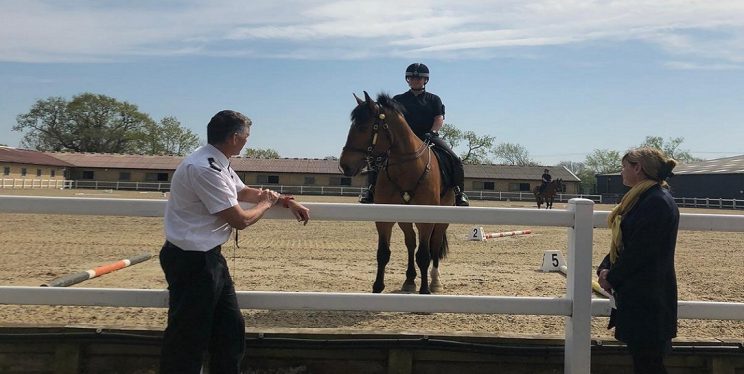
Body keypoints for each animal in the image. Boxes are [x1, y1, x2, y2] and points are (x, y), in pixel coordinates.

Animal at [338, 91, 454, 296]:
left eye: (362, 127)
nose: (345, 165)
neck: (407, 168)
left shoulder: (427, 219)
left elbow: (424, 255)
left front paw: (425, 290)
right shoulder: (385, 218)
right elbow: (383, 253)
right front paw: (377, 287)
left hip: (442, 220)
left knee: (433, 245)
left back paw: (435, 282)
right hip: (404, 219)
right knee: (411, 242)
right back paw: (409, 280)